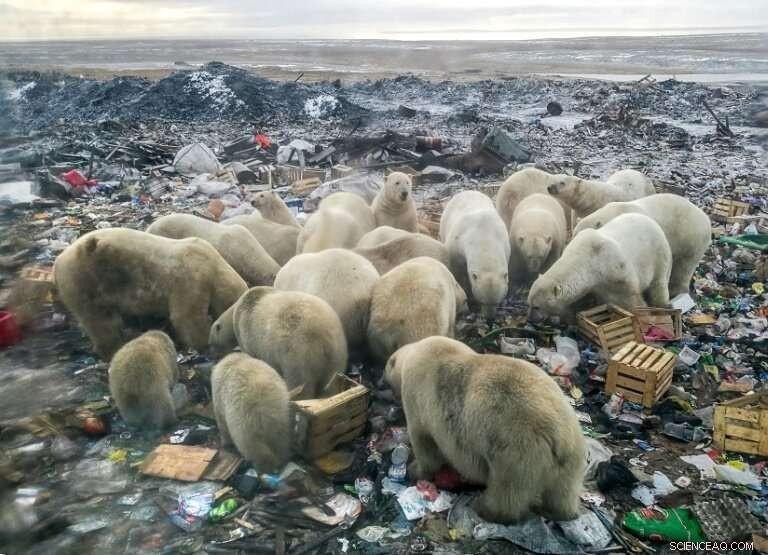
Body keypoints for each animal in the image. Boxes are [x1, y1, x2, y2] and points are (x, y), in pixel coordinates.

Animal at [54, 228, 247, 360]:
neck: (215, 265)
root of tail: (58, 261)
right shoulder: (191, 278)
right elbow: (186, 317)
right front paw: (204, 344)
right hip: (84, 280)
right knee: (99, 321)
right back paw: (113, 348)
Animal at [209, 287, 346, 399]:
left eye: (212, 345)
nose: (213, 357)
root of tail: (323, 336)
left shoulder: (248, 335)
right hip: (337, 351)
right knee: (331, 381)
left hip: (298, 351)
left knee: (300, 382)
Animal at [384, 336, 586, 524]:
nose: (381, 382)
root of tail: (558, 436)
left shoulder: (417, 398)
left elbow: (425, 444)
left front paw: (414, 470)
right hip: (571, 454)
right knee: (564, 490)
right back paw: (560, 512)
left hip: (517, 451)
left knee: (507, 490)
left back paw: (484, 507)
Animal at [528, 213, 672, 322]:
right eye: (529, 303)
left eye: (536, 307)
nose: (530, 319)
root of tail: (651, 220)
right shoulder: (594, 283)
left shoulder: (616, 270)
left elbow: (630, 298)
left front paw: (644, 317)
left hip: (658, 254)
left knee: (659, 283)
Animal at [573, 193, 711, 297]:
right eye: (573, 236)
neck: (613, 213)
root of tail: (707, 219)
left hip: (692, 237)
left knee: (685, 265)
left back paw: (676, 289)